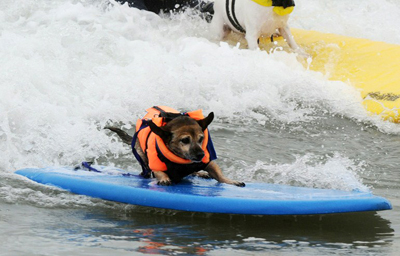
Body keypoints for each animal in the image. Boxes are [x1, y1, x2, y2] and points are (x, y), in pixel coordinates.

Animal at [106, 106, 244, 188]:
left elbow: (219, 174)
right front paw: (164, 178)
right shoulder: (155, 164)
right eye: (185, 140)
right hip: (142, 156)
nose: (201, 155)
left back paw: (199, 173)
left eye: (201, 139)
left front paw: (231, 181)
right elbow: (159, 172)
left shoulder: (208, 162)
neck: (182, 161)